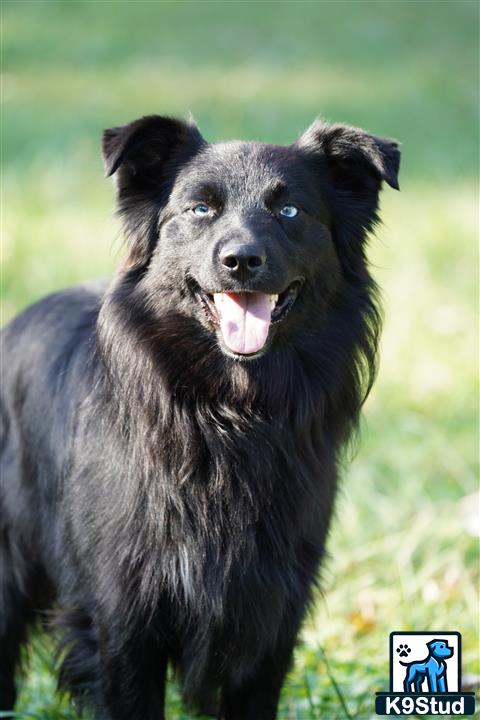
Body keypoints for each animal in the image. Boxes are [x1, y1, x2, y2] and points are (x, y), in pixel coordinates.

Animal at [0, 115, 398, 716]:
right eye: (200, 209)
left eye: (291, 210)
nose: (241, 261)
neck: (228, 412)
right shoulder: (122, 622)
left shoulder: (269, 618)